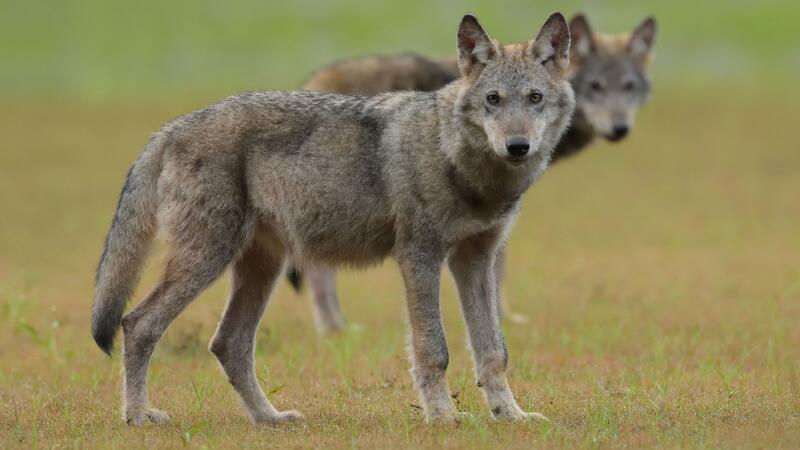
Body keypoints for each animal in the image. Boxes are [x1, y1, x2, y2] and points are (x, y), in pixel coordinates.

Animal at [95, 11, 576, 426]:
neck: (460, 163)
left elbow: (494, 351)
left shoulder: (475, 261)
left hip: (260, 269)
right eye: (494, 100)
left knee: (228, 344)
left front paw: (510, 415)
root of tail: (171, 127)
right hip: (207, 260)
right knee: (137, 325)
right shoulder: (419, 257)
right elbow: (433, 349)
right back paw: (137, 417)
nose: (518, 146)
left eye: (534, 99)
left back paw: (270, 420)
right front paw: (443, 417)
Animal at [290, 13, 660, 334]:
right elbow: (500, 266)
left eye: (628, 87)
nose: (620, 129)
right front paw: (505, 317)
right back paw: (333, 329)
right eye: (597, 86)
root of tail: (313, 79)